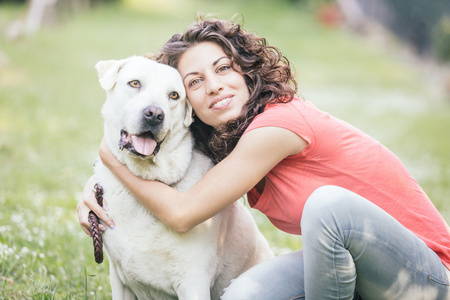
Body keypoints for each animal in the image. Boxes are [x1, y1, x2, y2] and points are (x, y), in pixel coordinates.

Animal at [93, 56, 272, 300]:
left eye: (174, 95)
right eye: (135, 83)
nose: (154, 114)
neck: (150, 180)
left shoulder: (193, 282)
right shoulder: (119, 279)